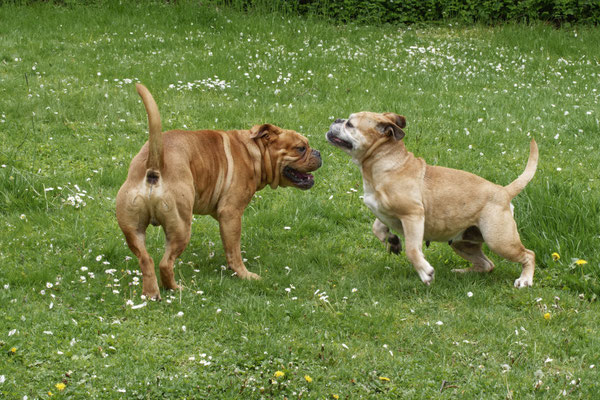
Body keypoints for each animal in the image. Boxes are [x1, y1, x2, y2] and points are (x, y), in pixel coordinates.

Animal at [118, 84, 324, 298]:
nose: (319, 153)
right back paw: (176, 288)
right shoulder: (231, 213)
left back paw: (151, 293)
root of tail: (154, 165)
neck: (254, 151)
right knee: (165, 264)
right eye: (301, 148)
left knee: (146, 260)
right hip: (181, 227)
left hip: (133, 230)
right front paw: (243, 274)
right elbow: (234, 251)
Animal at [328, 112, 540, 288]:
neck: (386, 163)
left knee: (528, 254)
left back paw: (525, 280)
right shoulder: (383, 213)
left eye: (350, 124)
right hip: (462, 243)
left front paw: (425, 272)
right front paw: (392, 240)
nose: (336, 119)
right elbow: (377, 228)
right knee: (487, 264)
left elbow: (412, 250)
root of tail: (504, 191)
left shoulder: (413, 216)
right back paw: (461, 273)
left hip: (499, 241)